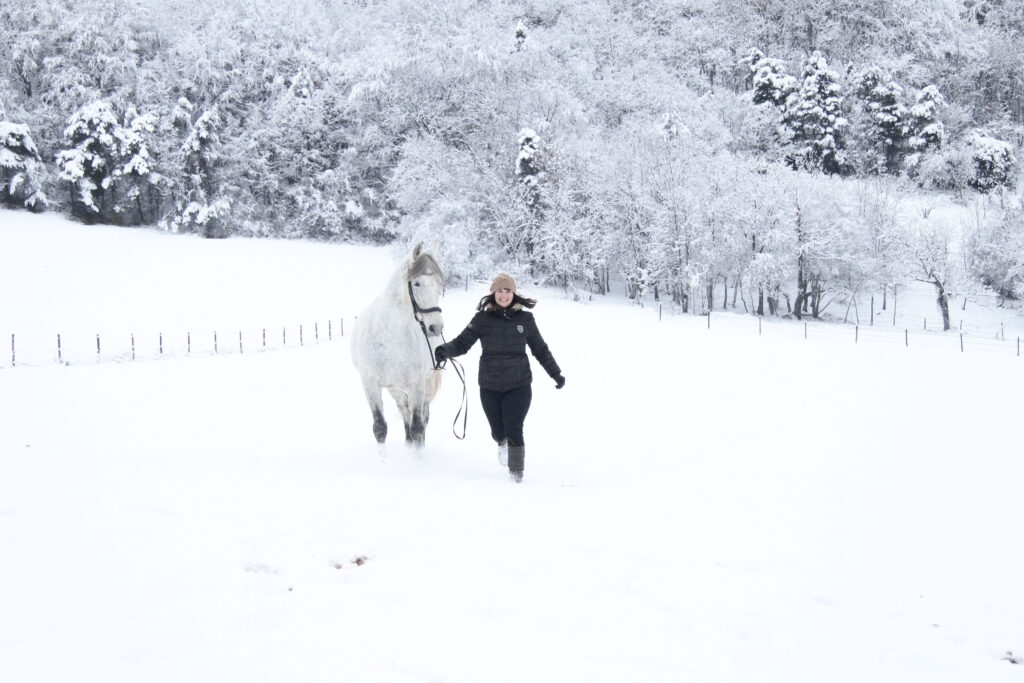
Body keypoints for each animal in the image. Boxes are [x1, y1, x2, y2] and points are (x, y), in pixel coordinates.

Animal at [352, 242, 444, 446]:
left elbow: (418, 428)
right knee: (405, 412)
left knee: (423, 418)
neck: (389, 338)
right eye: (417, 283)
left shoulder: (417, 386)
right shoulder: (370, 385)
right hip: (395, 389)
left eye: (440, 286)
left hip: (426, 385)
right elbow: (380, 429)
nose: (436, 327)